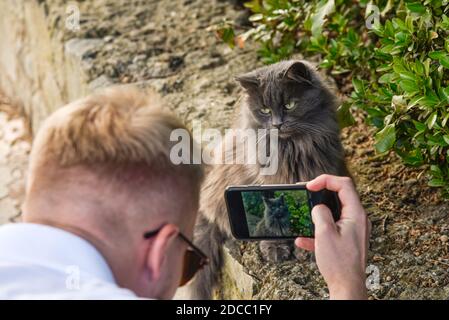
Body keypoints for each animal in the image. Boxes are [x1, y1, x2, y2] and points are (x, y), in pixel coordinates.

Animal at [187, 58, 348, 298]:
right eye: (264, 110)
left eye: (289, 105)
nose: (277, 124)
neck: (292, 147)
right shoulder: (266, 180)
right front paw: (277, 247)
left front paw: (309, 246)